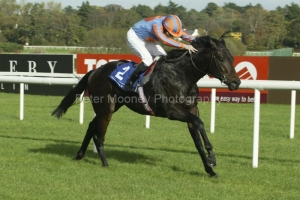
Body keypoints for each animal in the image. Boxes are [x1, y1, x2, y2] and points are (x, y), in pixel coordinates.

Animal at [51, 34, 240, 177]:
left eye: (232, 58)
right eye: (221, 58)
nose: (236, 82)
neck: (181, 75)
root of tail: (95, 71)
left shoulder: (192, 109)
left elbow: (197, 139)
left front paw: (209, 169)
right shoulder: (173, 111)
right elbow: (200, 124)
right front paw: (212, 157)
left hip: (112, 106)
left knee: (91, 125)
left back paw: (79, 155)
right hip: (106, 108)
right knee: (99, 134)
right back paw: (105, 162)